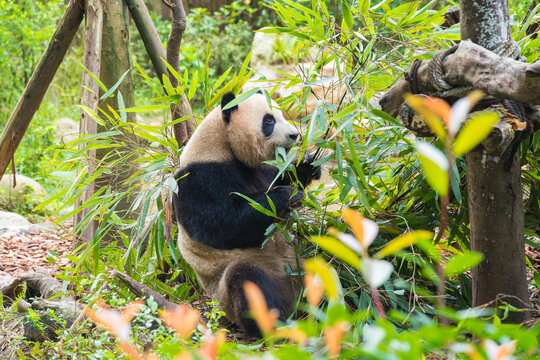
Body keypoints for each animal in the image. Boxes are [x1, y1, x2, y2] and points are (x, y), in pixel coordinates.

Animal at [173, 91, 320, 336]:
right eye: (268, 121)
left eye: (281, 114)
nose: (294, 134)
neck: (223, 143)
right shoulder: (200, 178)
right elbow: (225, 225)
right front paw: (287, 196)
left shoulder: (260, 169)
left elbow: (278, 176)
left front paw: (307, 166)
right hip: (235, 284)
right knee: (247, 280)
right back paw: (273, 324)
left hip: (301, 260)